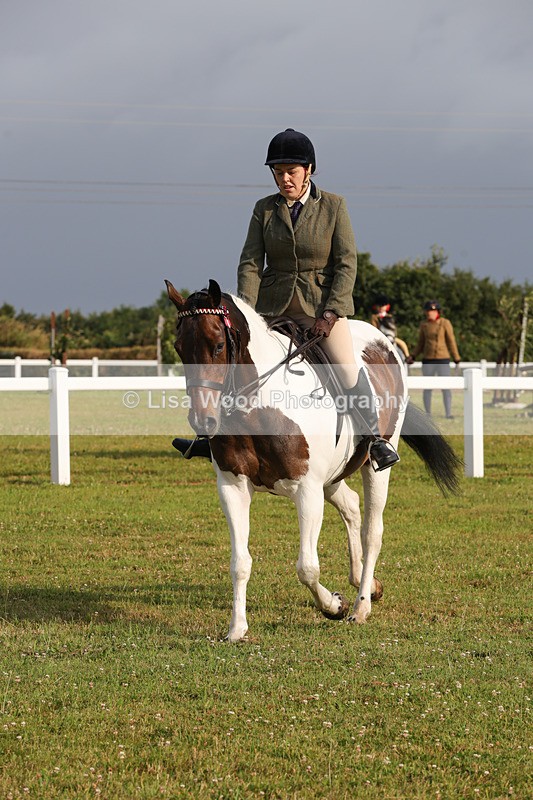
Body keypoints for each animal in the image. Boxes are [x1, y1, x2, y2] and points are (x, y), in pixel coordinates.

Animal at [165, 279, 460, 641]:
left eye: (219, 345)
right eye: (179, 348)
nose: (203, 421)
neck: (258, 406)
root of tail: (382, 341)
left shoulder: (307, 489)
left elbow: (307, 567)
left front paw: (335, 606)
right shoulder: (232, 487)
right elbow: (240, 563)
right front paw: (236, 629)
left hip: (375, 464)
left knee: (372, 530)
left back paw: (361, 606)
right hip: (332, 477)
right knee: (351, 505)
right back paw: (367, 583)